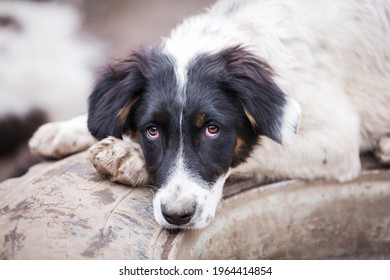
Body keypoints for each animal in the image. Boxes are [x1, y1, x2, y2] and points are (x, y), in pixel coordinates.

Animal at [29, 0, 390, 230]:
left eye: (212, 130)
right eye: (152, 131)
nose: (177, 217)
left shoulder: (337, 139)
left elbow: (256, 150)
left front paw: (128, 157)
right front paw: (65, 130)